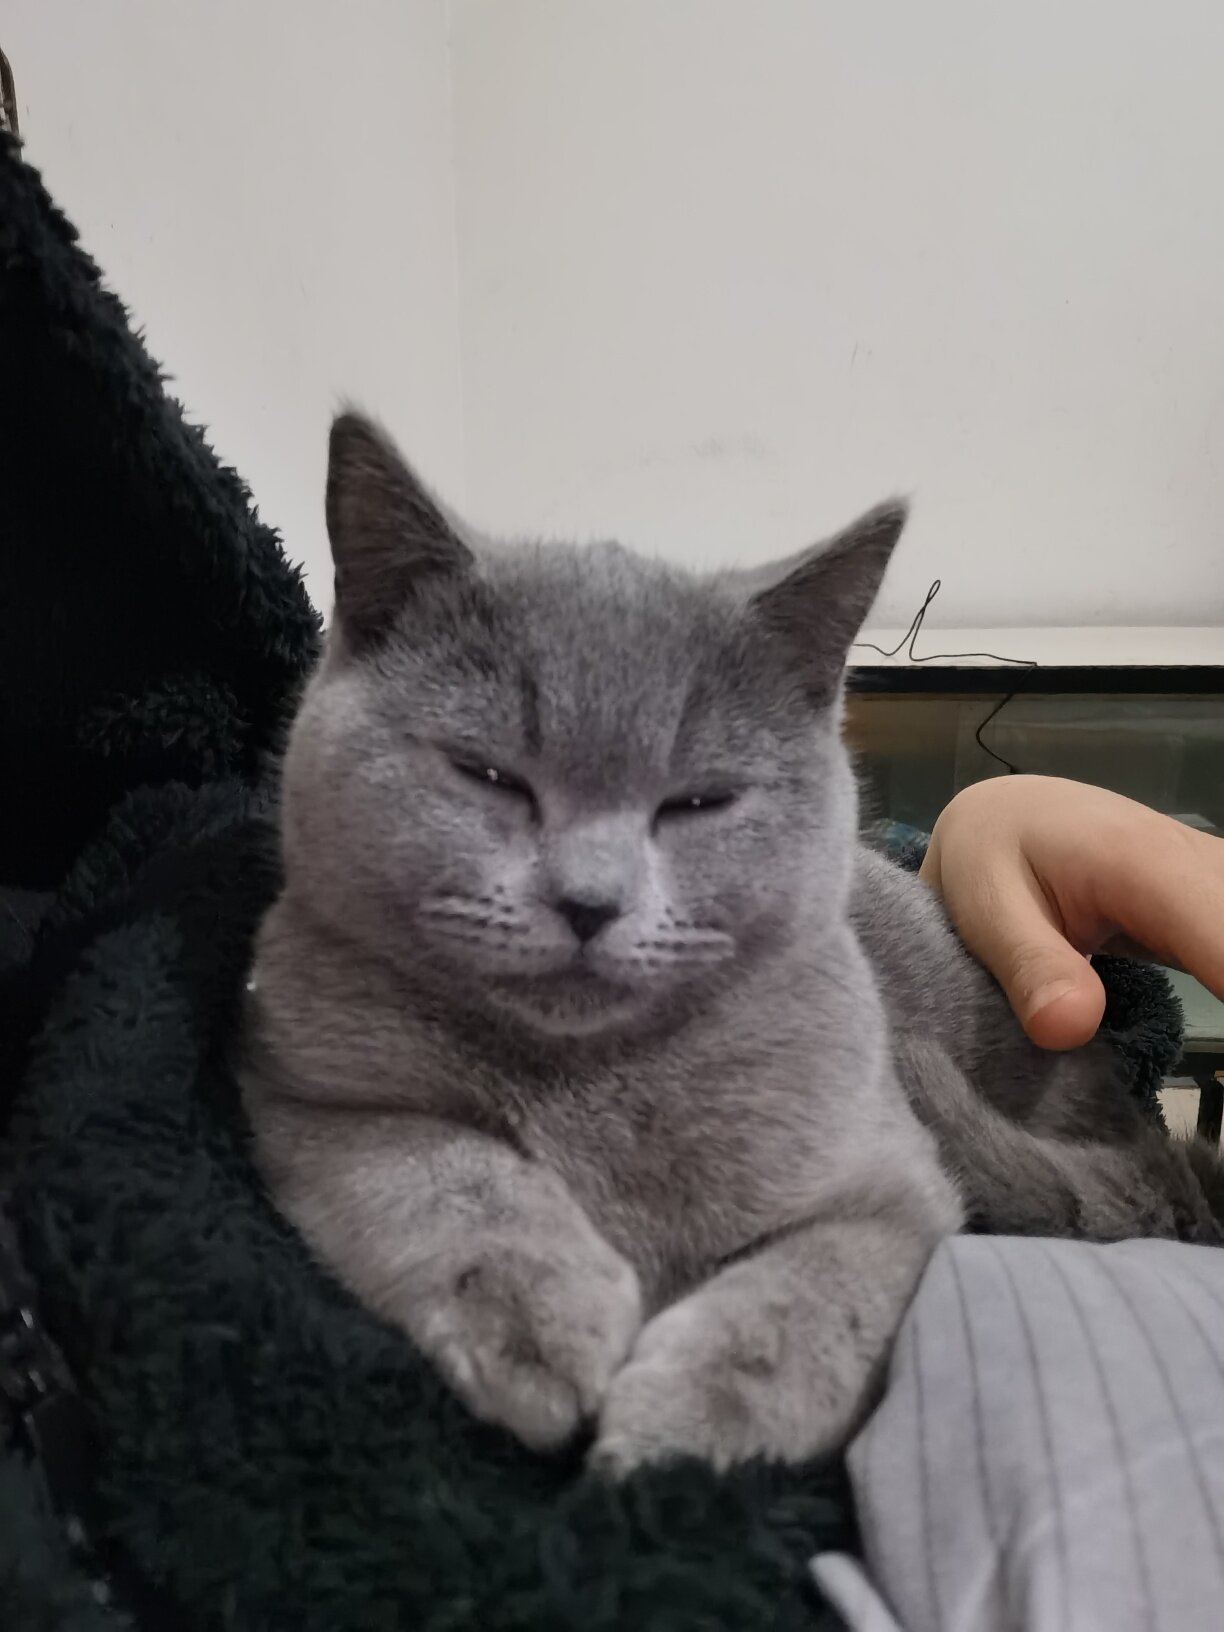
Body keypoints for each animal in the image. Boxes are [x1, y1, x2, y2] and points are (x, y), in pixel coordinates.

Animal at [241, 411, 1224, 1474]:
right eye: (488, 774)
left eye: (699, 802)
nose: (589, 900)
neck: (587, 1081)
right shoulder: (308, 1094)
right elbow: (449, 1178)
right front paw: (536, 1322)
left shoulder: (894, 1191)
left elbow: (807, 1301)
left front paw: (687, 1429)